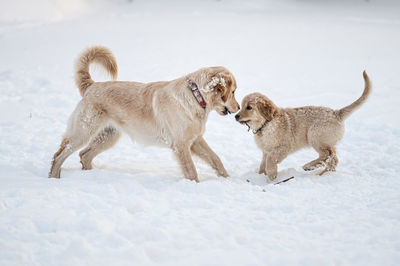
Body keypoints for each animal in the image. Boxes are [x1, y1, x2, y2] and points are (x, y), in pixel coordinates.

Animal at [48, 46, 239, 183]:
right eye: (233, 92)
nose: (237, 109)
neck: (195, 95)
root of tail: (92, 85)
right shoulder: (181, 145)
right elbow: (192, 171)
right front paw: (195, 186)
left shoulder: (196, 140)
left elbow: (216, 159)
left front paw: (228, 179)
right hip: (82, 132)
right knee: (59, 155)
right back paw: (54, 178)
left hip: (108, 136)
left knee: (84, 155)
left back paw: (90, 176)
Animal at [236, 71, 370, 180]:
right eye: (241, 106)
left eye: (249, 107)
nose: (236, 116)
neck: (266, 124)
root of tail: (336, 113)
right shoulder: (266, 150)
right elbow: (263, 164)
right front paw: (259, 176)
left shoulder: (282, 148)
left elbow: (270, 160)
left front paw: (272, 174)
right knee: (333, 158)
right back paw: (320, 172)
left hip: (314, 136)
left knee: (328, 154)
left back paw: (310, 167)